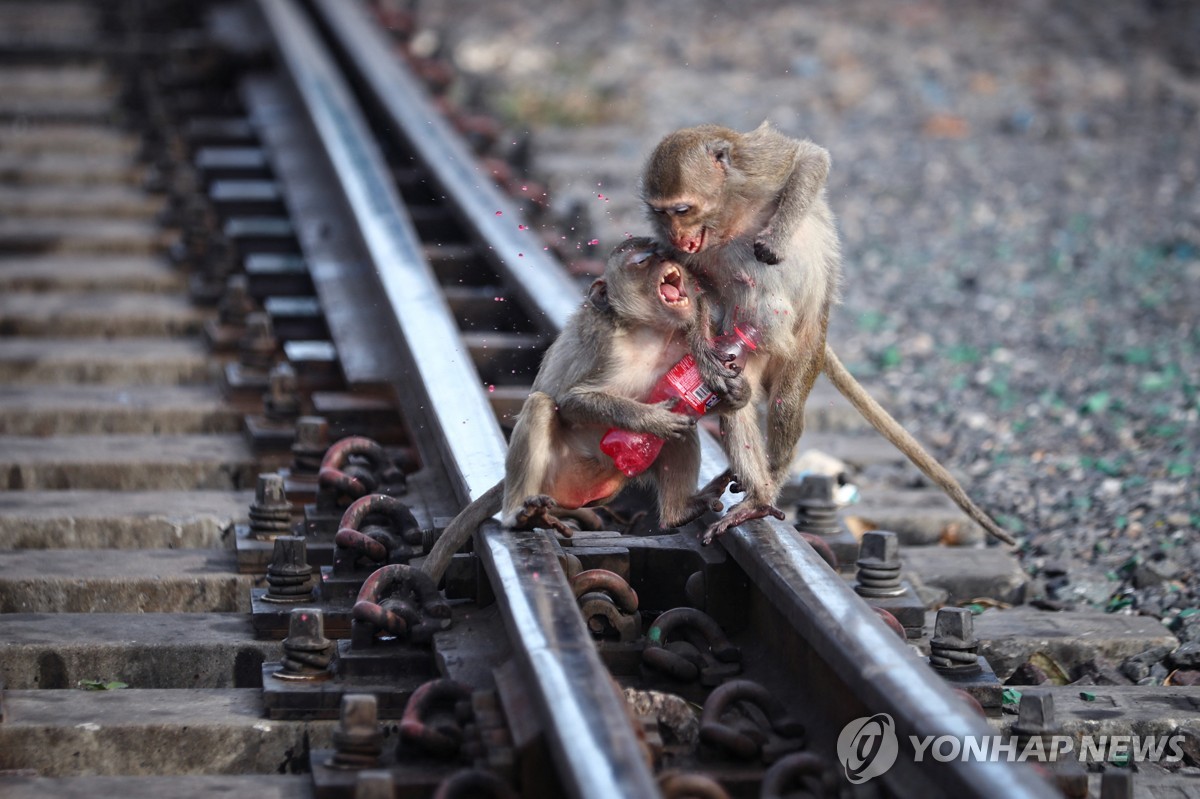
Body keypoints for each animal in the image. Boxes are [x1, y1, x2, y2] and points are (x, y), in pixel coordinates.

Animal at [420, 236, 739, 578]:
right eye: (643, 260)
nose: (670, 254)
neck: (650, 332)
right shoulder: (604, 344)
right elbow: (572, 401)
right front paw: (652, 419)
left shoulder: (682, 342)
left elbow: (698, 398)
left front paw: (730, 386)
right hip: (554, 472)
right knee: (541, 405)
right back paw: (519, 515)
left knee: (684, 430)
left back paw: (681, 511)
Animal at [643, 121, 1017, 544]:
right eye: (661, 213)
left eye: (682, 209)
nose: (677, 234)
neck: (723, 215)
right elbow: (693, 288)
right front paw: (704, 356)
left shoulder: (751, 166)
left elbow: (808, 159)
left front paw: (775, 239)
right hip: (749, 345)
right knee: (736, 401)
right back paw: (756, 485)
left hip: (804, 347)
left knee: (786, 402)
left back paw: (766, 488)